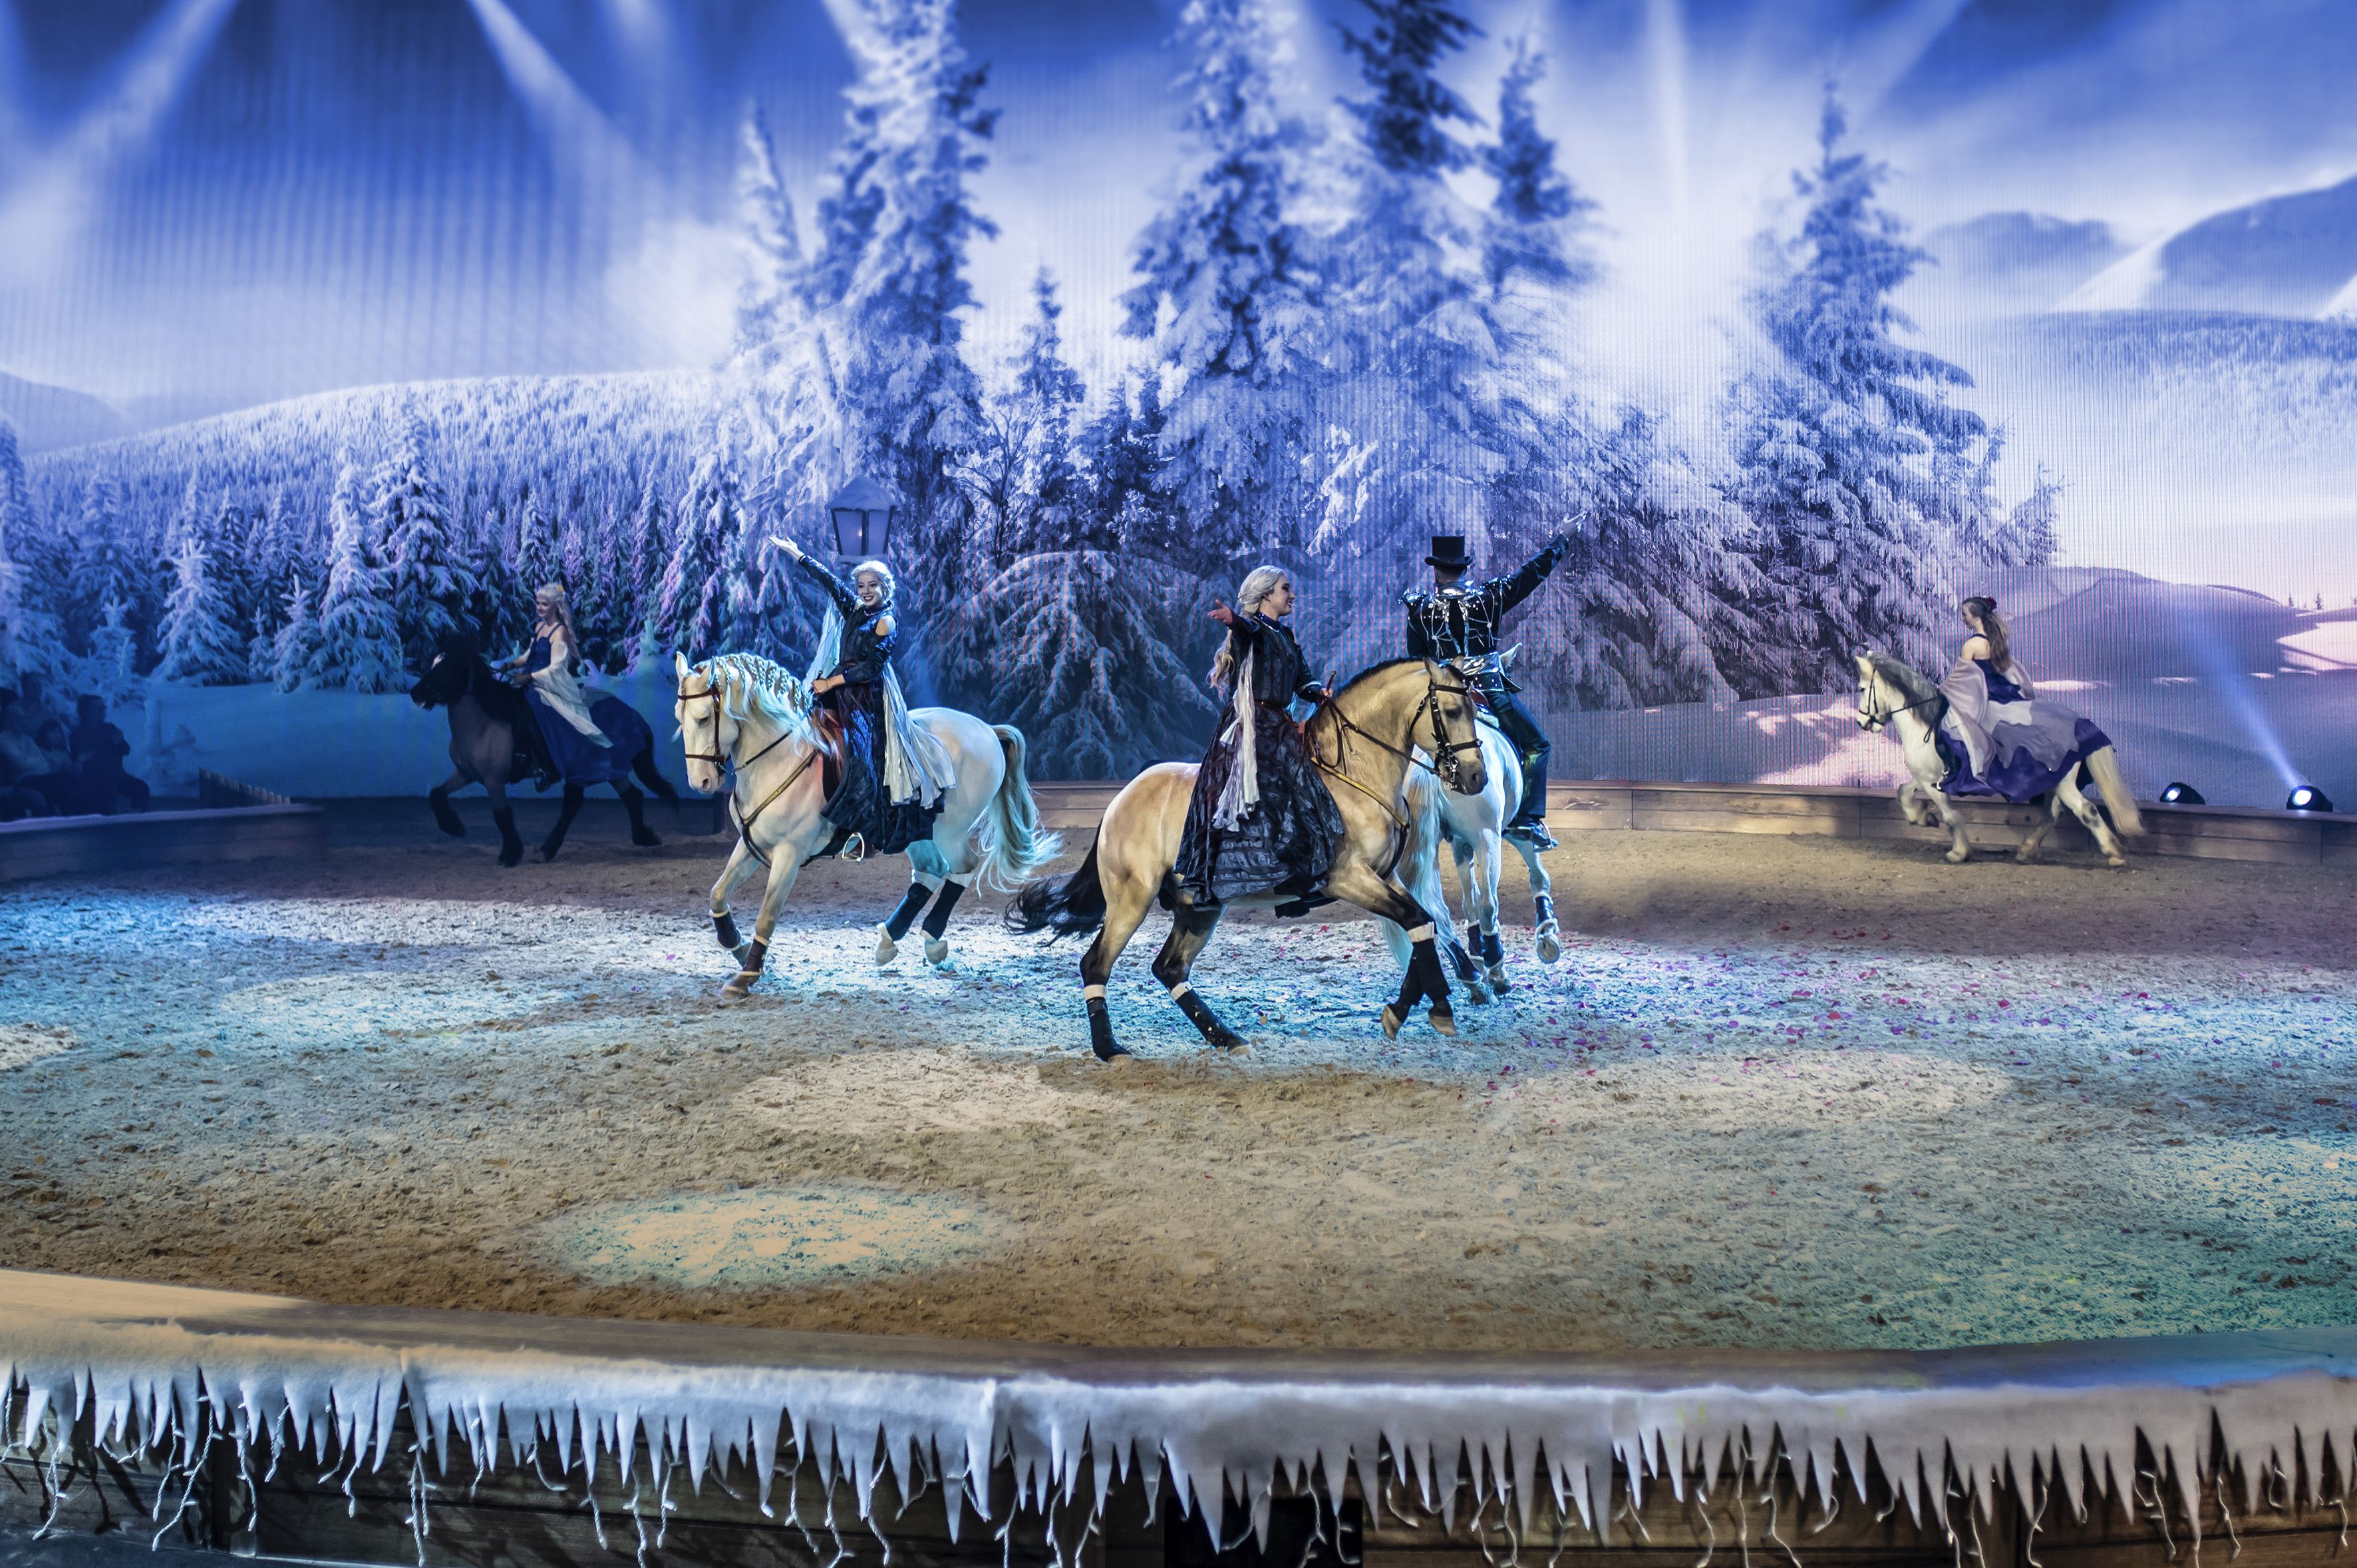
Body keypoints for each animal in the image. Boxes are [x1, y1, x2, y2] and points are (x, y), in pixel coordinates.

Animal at [410, 648, 676, 867]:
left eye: (446, 668)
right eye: (433, 663)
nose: (415, 693)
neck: (482, 724)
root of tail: (630, 712)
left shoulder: (494, 780)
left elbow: (502, 814)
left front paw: (510, 855)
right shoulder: (467, 774)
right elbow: (436, 794)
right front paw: (453, 827)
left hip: (592, 766)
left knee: (575, 802)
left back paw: (548, 849)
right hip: (607, 768)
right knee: (629, 795)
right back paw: (643, 837)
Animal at [672, 653, 1062, 999]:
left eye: (704, 718)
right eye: (680, 717)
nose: (701, 782)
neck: (778, 759)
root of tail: (986, 729)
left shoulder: (788, 855)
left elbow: (767, 916)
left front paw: (747, 975)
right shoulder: (752, 844)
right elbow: (717, 894)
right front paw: (736, 946)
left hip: (950, 829)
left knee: (961, 869)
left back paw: (931, 939)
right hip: (919, 831)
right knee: (930, 872)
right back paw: (891, 941)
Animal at [1006, 658, 1489, 1060]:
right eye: (1451, 711)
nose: (1475, 778)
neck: (1351, 774)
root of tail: (1118, 802)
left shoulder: (1383, 877)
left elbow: (1423, 922)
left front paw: (1403, 1009)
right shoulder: (1347, 877)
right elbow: (1416, 921)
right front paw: (1439, 1007)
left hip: (1198, 906)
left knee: (1169, 967)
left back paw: (1226, 1038)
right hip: (1131, 901)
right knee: (1096, 964)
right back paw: (1110, 1050)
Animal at [1379, 717, 1563, 998]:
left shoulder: (1461, 844)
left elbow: (1469, 900)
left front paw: (1478, 953)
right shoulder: (1508, 831)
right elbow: (1537, 877)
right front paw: (1547, 936)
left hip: (1428, 847)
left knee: (1431, 910)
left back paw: (1470, 974)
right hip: (1489, 838)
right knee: (1489, 904)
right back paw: (1497, 971)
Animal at [1852, 652, 2146, 867]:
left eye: (1862, 688)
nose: (1861, 722)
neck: (1925, 725)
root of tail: (2080, 723)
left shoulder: (1933, 783)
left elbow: (1949, 816)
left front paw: (1958, 852)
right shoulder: (1929, 778)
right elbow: (1903, 792)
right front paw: (1923, 818)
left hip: (2063, 783)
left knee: (2086, 810)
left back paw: (2114, 854)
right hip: (2053, 781)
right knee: (2052, 814)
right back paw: (2027, 851)